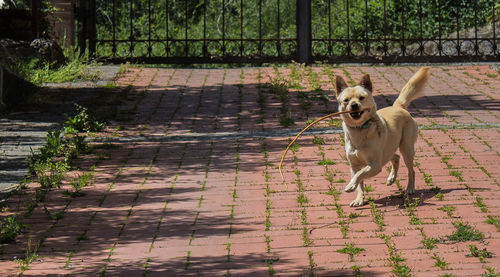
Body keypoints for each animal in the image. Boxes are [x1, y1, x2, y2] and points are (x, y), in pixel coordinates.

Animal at [336, 67, 430, 205]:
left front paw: (350, 186)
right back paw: (391, 178)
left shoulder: (375, 165)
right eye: (346, 100)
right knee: (396, 157)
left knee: (411, 170)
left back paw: (410, 188)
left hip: (406, 148)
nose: (354, 105)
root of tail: (398, 106)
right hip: (389, 149)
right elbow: (359, 180)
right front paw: (359, 198)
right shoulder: (354, 165)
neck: (359, 130)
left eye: (361, 98)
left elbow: (360, 175)